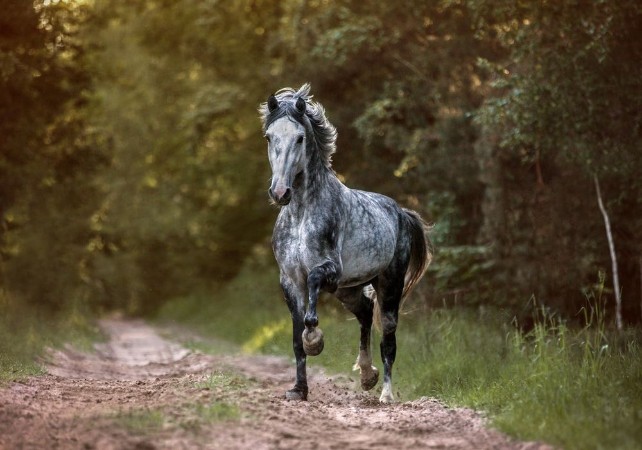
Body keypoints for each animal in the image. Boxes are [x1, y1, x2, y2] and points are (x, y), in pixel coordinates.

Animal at [259, 84, 432, 403]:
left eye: (300, 138)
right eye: (269, 136)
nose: (280, 193)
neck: (301, 213)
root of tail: (400, 212)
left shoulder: (329, 271)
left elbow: (312, 292)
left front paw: (315, 340)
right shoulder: (290, 280)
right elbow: (295, 338)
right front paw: (298, 390)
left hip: (388, 285)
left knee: (388, 340)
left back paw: (385, 394)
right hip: (347, 289)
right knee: (364, 312)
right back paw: (366, 375)